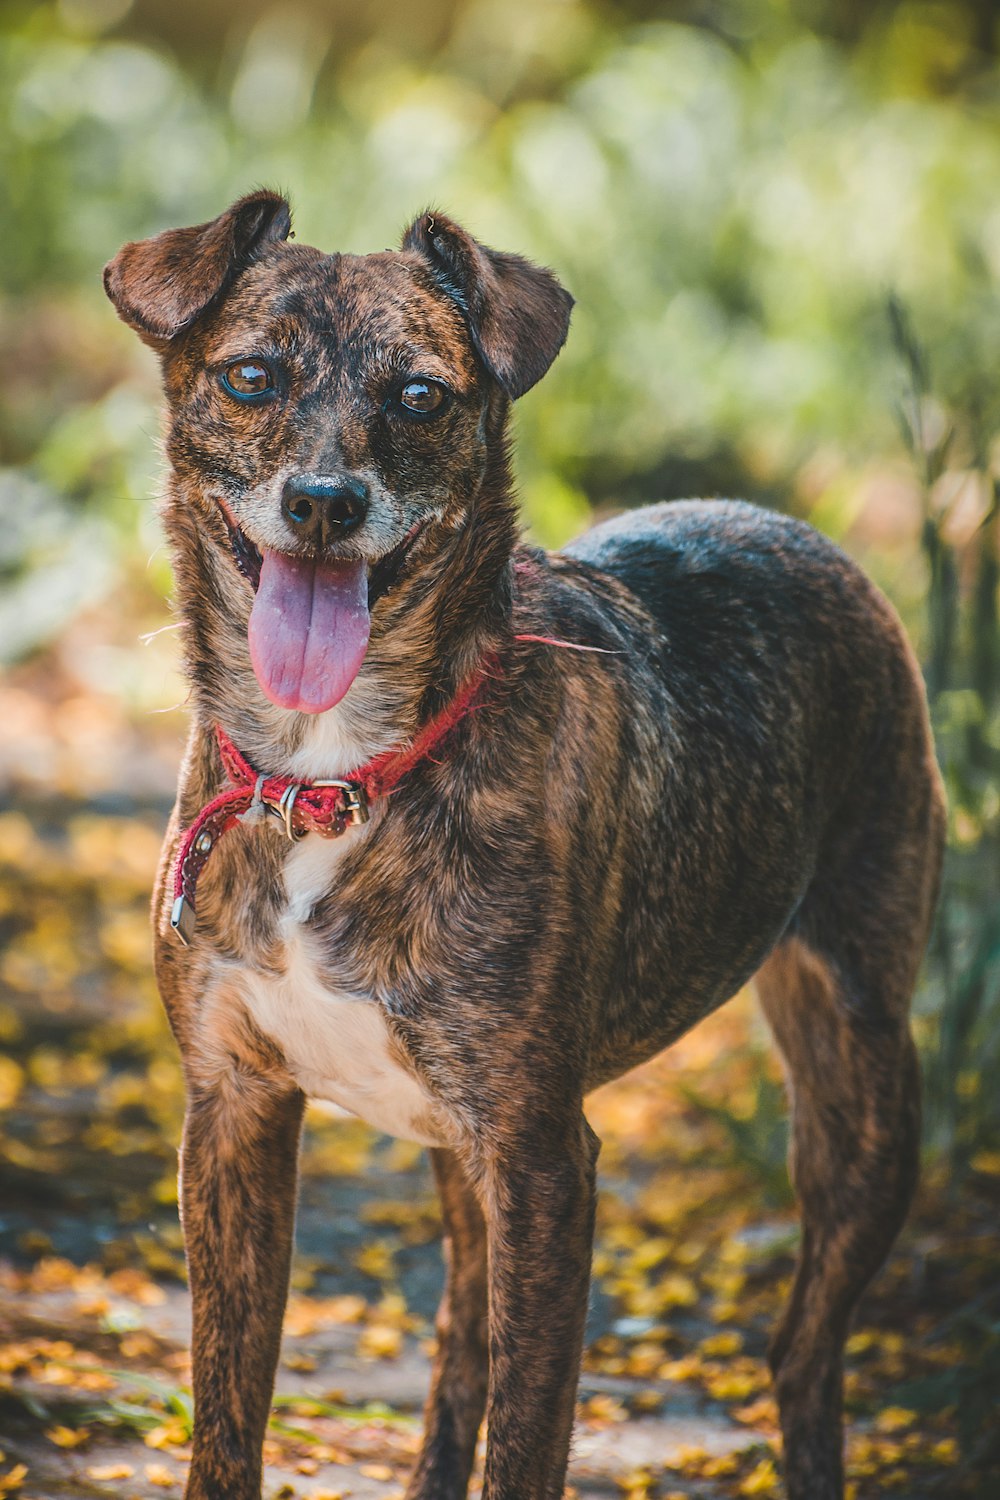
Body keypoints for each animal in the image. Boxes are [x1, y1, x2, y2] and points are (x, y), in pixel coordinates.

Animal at [103, 193, 947, 1500]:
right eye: (249, 377)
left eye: (419, 395)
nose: (325, 503)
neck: (332, 778)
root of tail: (782, 521)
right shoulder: (233, 1113)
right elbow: (227, 1421)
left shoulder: (547, 1161)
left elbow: (530, 1435)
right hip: (463, 1151)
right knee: (460, 1342)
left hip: (860, 1075)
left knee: (804, 1348)